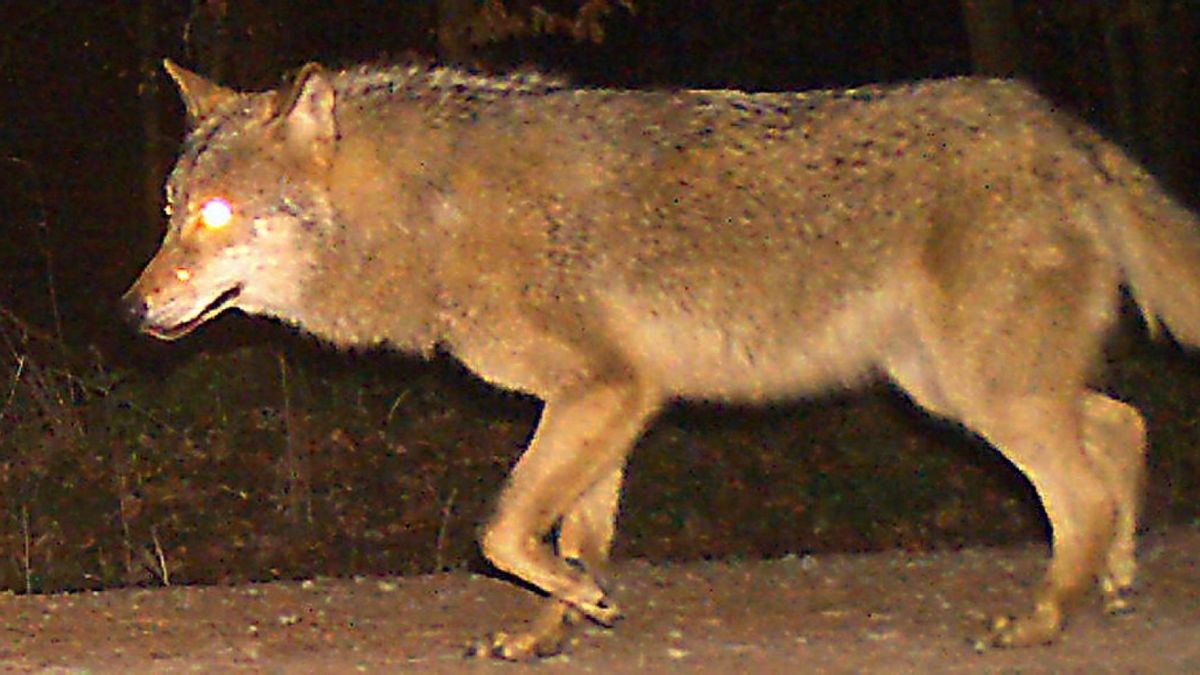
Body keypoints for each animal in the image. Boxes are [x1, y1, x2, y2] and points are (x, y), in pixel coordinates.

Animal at [124, 57, 1200, 658]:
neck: (432, 213)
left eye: (215, 217)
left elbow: (503, 531)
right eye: (172, 214)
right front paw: (550, 632)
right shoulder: (604, 402)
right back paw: (1113, 582)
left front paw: (583, 603)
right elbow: (564, 537)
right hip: (954, 386)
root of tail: (1063, 129)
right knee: (1124, 423)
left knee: (1081, 490)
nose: (131, 309)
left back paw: (1043, 620)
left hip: (979, 391)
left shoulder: (607, 390)